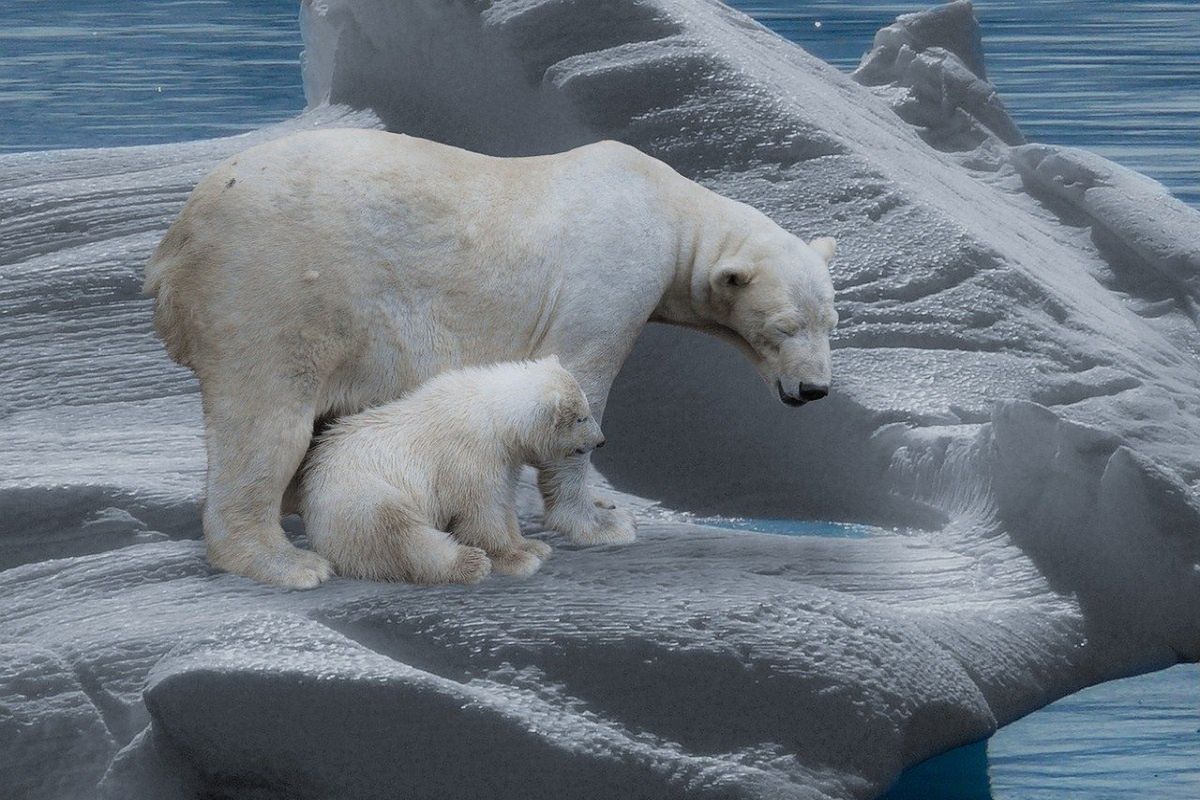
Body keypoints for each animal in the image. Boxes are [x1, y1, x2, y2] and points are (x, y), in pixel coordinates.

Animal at [147, 128, 835, 585]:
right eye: (783, 328)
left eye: (831, 322)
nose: (815, 391)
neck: (668, 209)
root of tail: (175, 243)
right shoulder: (606, 280)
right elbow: (582, 375)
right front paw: (597, 523)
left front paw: (607, 506)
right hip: (272, 287)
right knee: (268, 423)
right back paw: (285, 561)